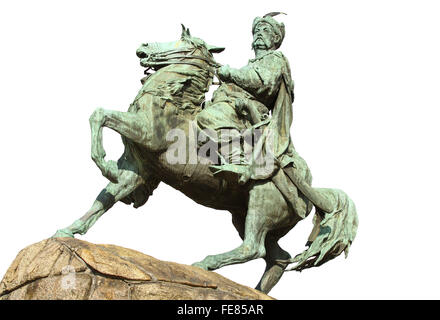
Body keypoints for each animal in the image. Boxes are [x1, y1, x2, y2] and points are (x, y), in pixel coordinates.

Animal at [54, 26, 358, 294]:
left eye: (181, 40)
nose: (143, 47)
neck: (169, 103)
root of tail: (309, 188)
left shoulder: (146, 133)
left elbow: (100, 114)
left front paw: (104, 163)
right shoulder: (137, 169)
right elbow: (104, 200)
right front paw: (68, 230)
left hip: (261, 204)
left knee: (254, 247)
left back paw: (204, 264)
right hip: (246, 216)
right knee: (277, 257)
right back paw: (257, 290)